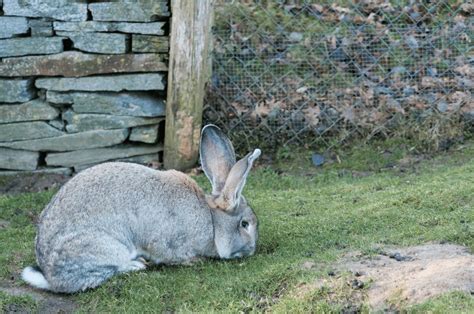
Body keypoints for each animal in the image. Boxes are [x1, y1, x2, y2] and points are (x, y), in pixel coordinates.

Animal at [22, 124, 262, 294]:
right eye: (245, 224)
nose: (252, 250)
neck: (211, 221)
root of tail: (49, 275)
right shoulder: (169, 243)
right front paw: (195, 261)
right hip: (105, 247)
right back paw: (136, 265)